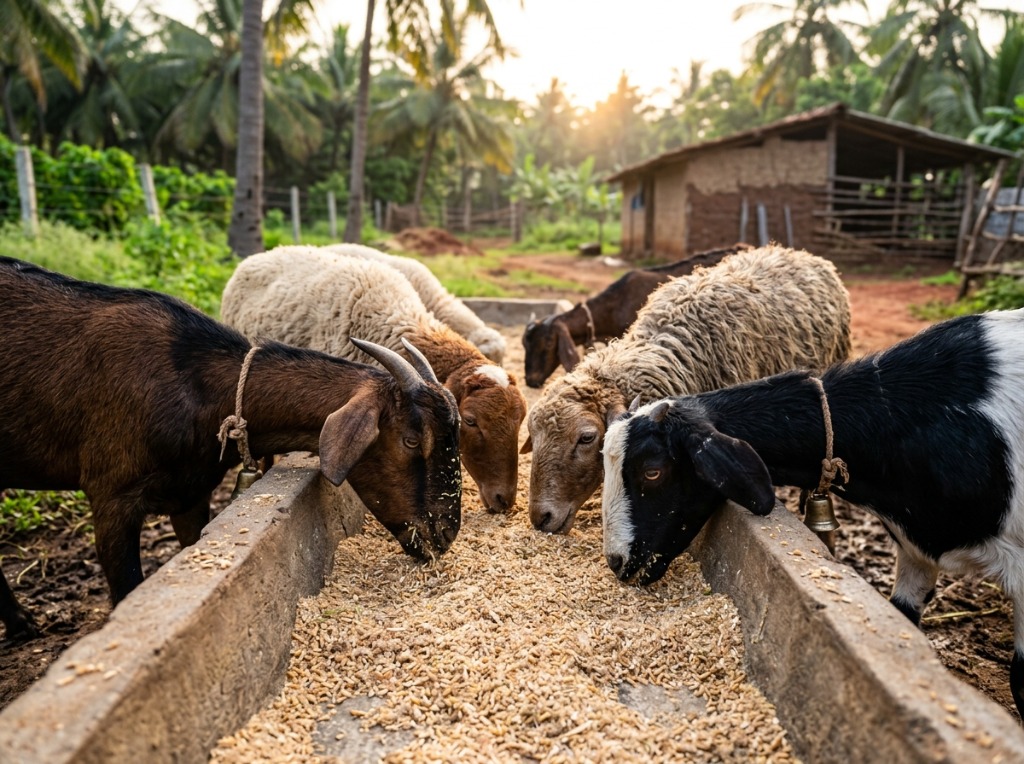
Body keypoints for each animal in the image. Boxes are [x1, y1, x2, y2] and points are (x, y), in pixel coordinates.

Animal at [0, 256, 462, 641]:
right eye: (412, 439)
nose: (445, 534)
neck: (197, 385)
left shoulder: (190, 495)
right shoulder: (112, 499)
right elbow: (126, 586)